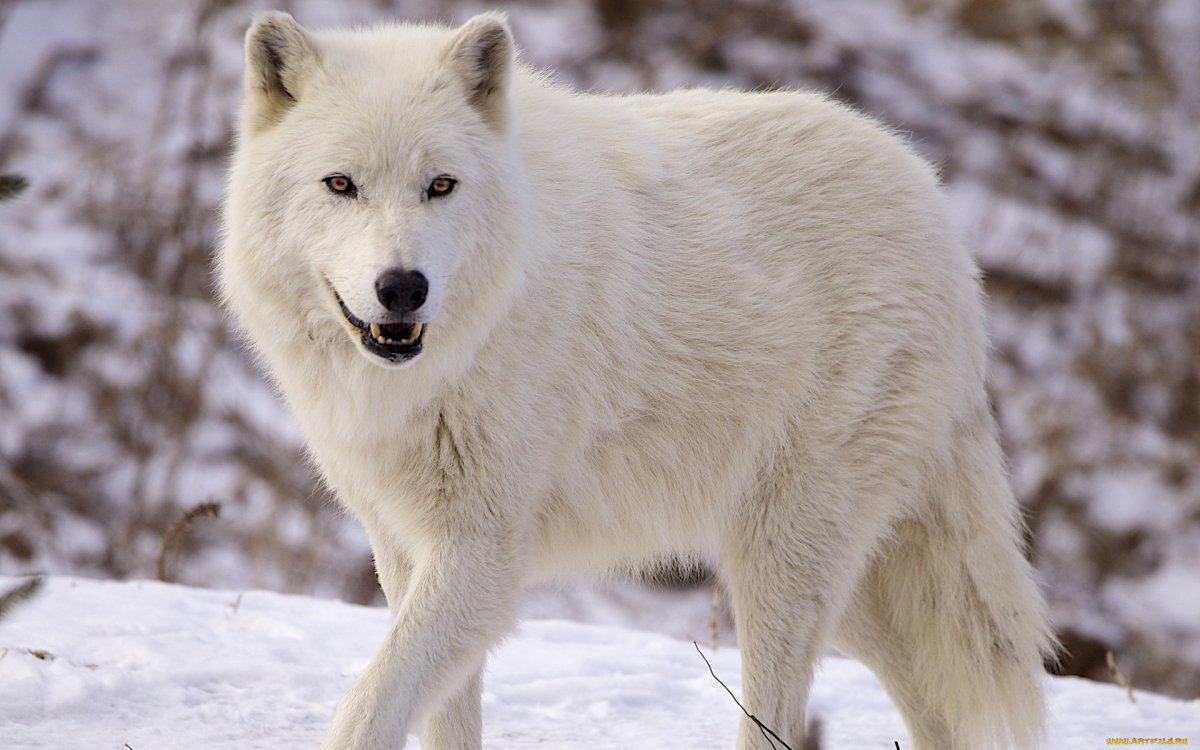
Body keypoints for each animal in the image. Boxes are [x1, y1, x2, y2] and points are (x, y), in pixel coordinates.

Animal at [218, 11, 1054, 750]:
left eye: (441, 186)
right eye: (340, 185)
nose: (402, 288)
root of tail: (938, 210)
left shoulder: (483, 552)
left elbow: (370, 703)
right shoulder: (403, 547)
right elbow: (440, 715)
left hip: (784, 562)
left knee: (776, 717)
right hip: (853, 591)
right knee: (936, 713)